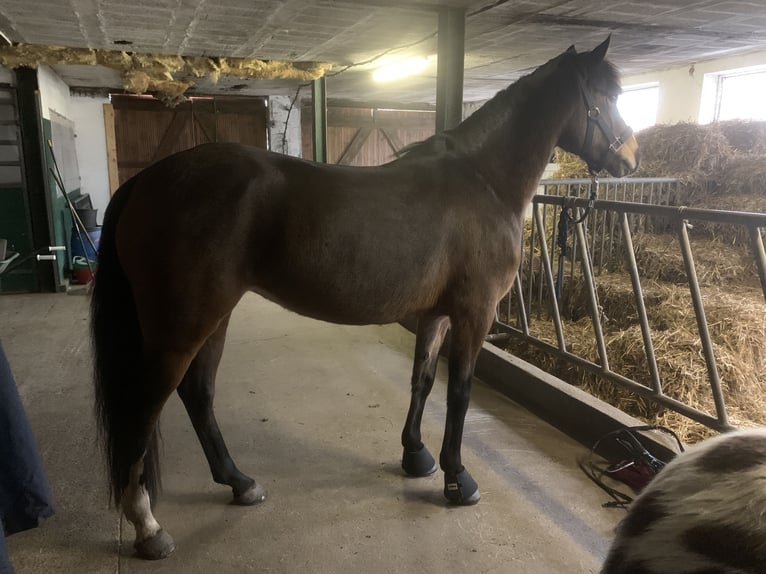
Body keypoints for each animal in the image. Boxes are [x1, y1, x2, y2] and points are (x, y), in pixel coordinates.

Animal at [91, 37, 640, 564]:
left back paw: (239, 482)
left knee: (198, 394)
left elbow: (423, 381)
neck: (484, 182)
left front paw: (416, 456)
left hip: (214, 317)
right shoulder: (474, 313)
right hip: (183, 325)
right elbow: (459, 393)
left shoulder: (436, 315)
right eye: (608, 96)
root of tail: (147, 180)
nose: (632, 158)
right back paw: (148, 526)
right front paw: (458, 479)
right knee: (145, 407)